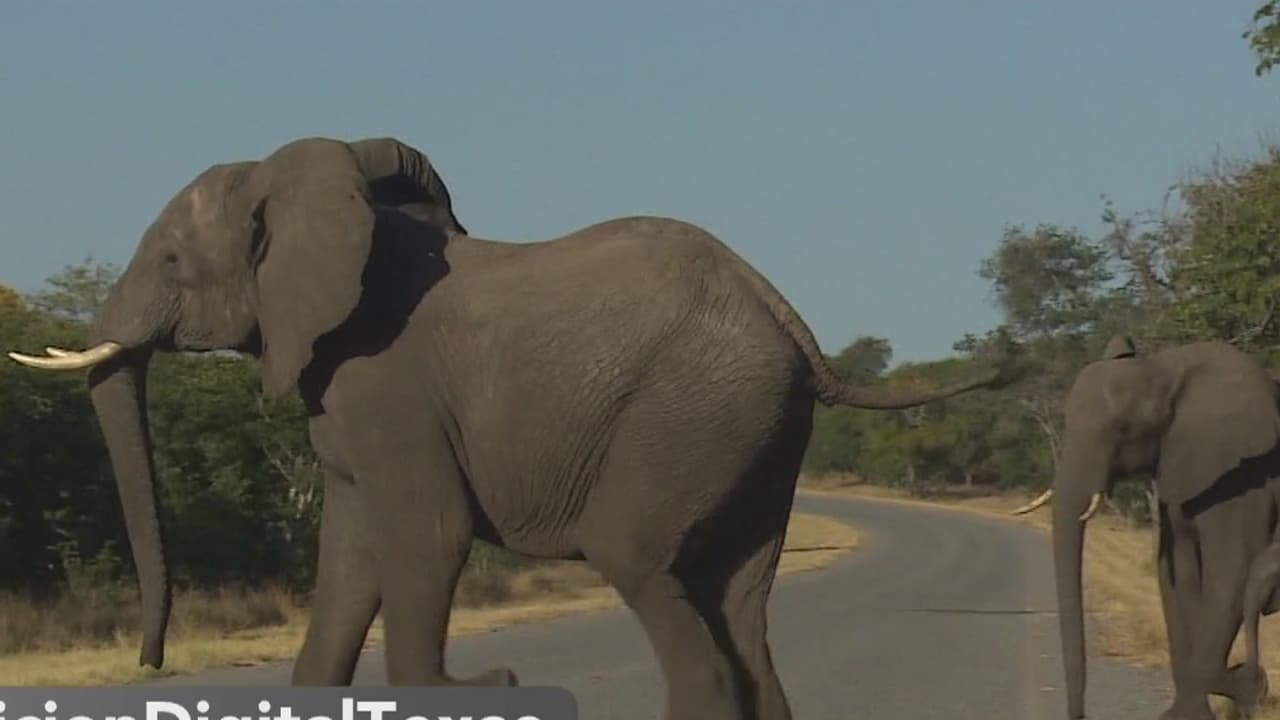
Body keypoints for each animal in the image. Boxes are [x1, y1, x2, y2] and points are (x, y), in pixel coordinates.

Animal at [7, 135, 1012, 720]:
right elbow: (350, 557)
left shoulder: (390, 385)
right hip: (757, 431)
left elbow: (426, 536)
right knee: (739, 605)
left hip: (690, 409)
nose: (151, 661)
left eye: (173, 261)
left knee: (643, 565)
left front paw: (484, 688)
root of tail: (788, 318)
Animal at [1012, 338, 1280, 720]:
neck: (1164, 370)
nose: (1079, 715)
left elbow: (1233, 568)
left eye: (1123, 430)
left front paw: (1246, 689)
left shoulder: (1246, 476)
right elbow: (1176, 572)